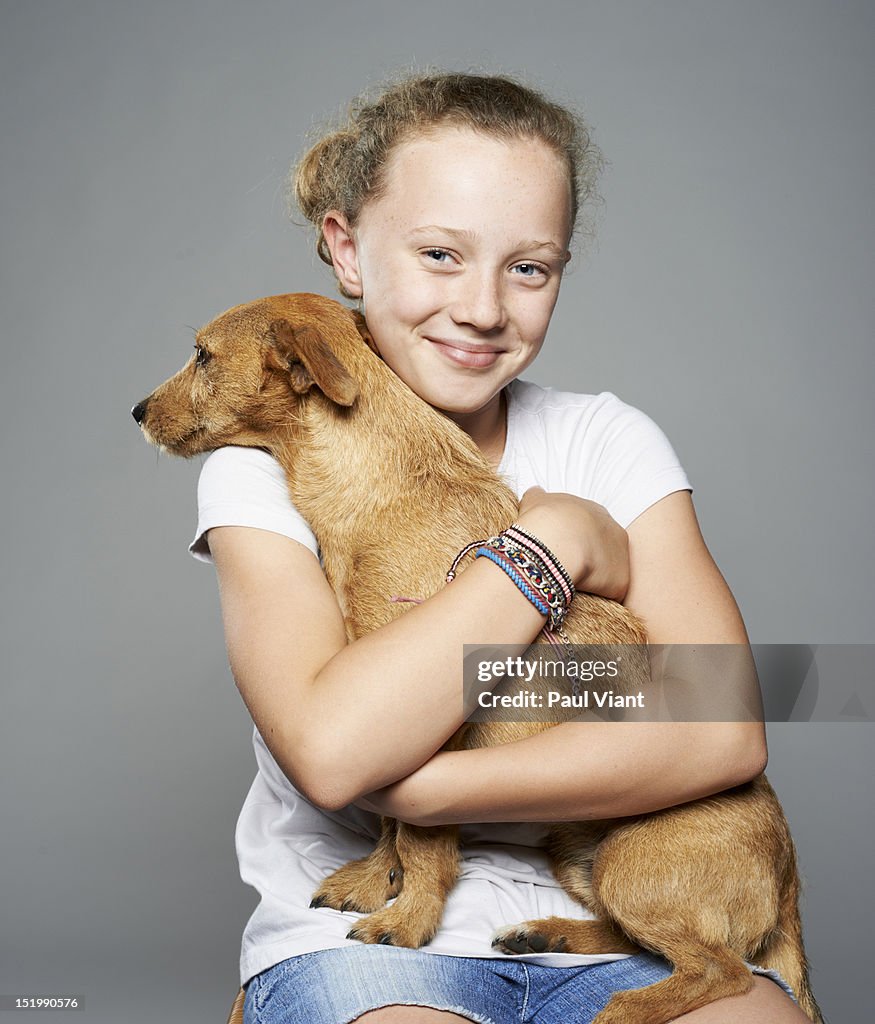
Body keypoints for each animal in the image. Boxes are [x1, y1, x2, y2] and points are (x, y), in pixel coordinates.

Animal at [132, 292, 823, 1019]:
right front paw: (377, 880)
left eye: (202, 356)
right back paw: (547, 933)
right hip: (579, 853)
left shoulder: (438, 724)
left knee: (721, 969)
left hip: (632, 867)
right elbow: (392, 824)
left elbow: (422, 837)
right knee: (641, 941)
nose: (137, 412)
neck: (377, 483)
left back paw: (623, 1006)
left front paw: (407, 920)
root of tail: (788, 880)